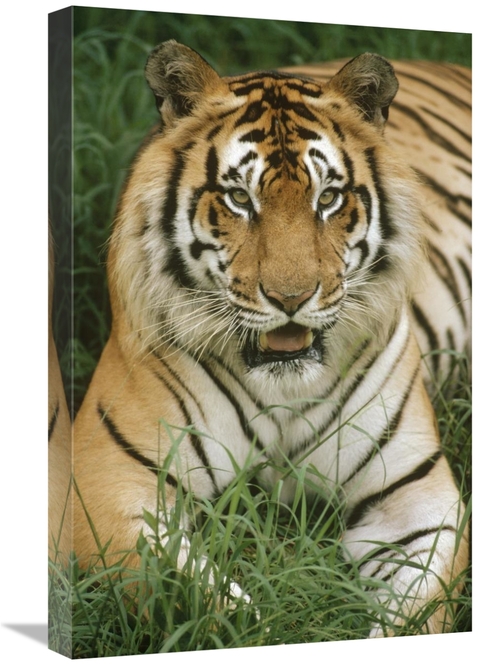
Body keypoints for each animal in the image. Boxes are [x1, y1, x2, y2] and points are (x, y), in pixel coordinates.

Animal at [70, 40, 471, 637]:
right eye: (239, 198)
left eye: (328, 198)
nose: (291, 298)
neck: (284, 390)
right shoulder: (105, 484)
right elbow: (209, 606)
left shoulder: (417, 493)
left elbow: (416, 613)